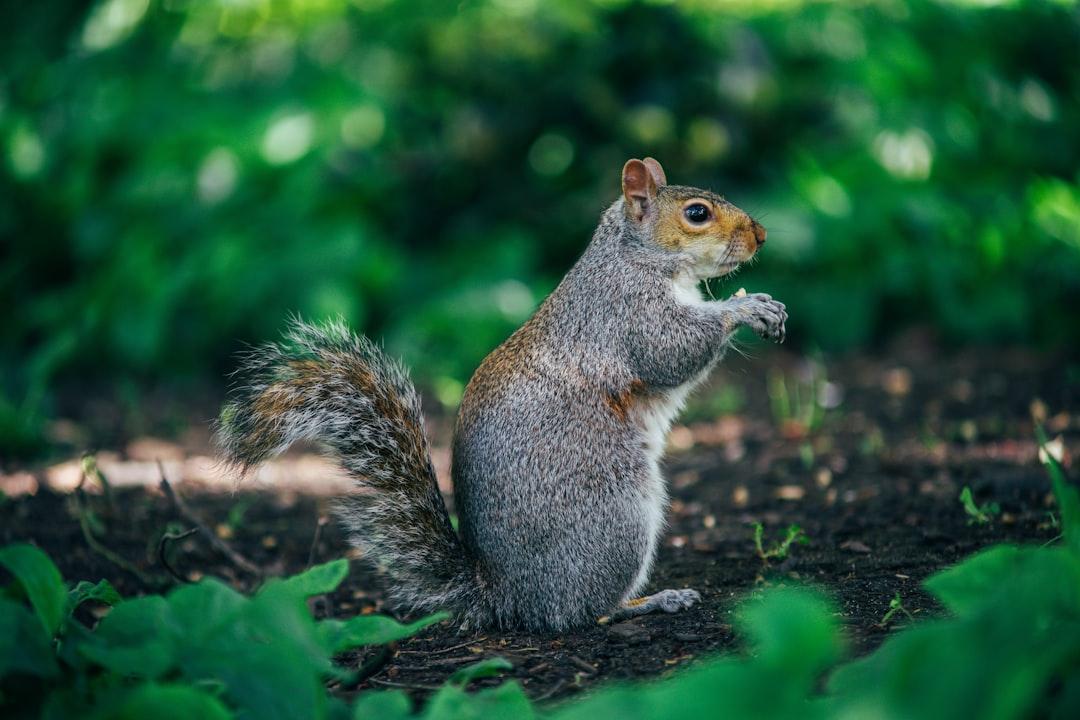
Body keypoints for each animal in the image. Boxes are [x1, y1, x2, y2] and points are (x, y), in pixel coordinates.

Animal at [214, 157, 790, 630]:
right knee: (583, 612)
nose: (762, 235)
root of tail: (506, 596)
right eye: (696, 213)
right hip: (616, 514)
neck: (636, 257)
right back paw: (652, 600)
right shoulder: (626, 313)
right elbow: (672, 350)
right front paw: (746, 307)